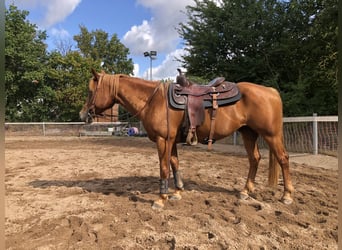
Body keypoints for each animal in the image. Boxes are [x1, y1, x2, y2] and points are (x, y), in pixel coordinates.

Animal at [80, 70, 294, 209]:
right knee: (254, 159)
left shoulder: (163, 140)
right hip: (248, 133)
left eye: (91, 91)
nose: (83, 114)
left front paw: (161, 198)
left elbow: (164, 167)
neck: (154, 100)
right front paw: (177, 192)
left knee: (283, 159)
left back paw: (287, 195)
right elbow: (175, 164)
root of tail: (270, 91)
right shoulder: (172, 141)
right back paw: (245, 191)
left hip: (271, 135)